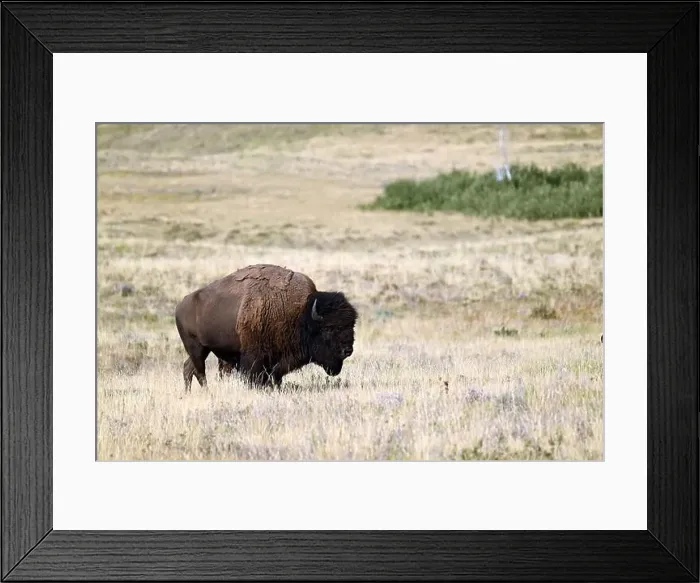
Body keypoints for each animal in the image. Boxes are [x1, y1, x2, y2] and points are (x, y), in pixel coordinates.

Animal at [175, 264, 358, 391]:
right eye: (329, 328)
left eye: (351, 326)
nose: (347, 350)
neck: (300, 314)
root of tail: (181, 304)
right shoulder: (254, 358)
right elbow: (255, 377)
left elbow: (275, 377)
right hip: (196, 347)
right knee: (199, 371)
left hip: (204, 349)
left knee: (188, 368)